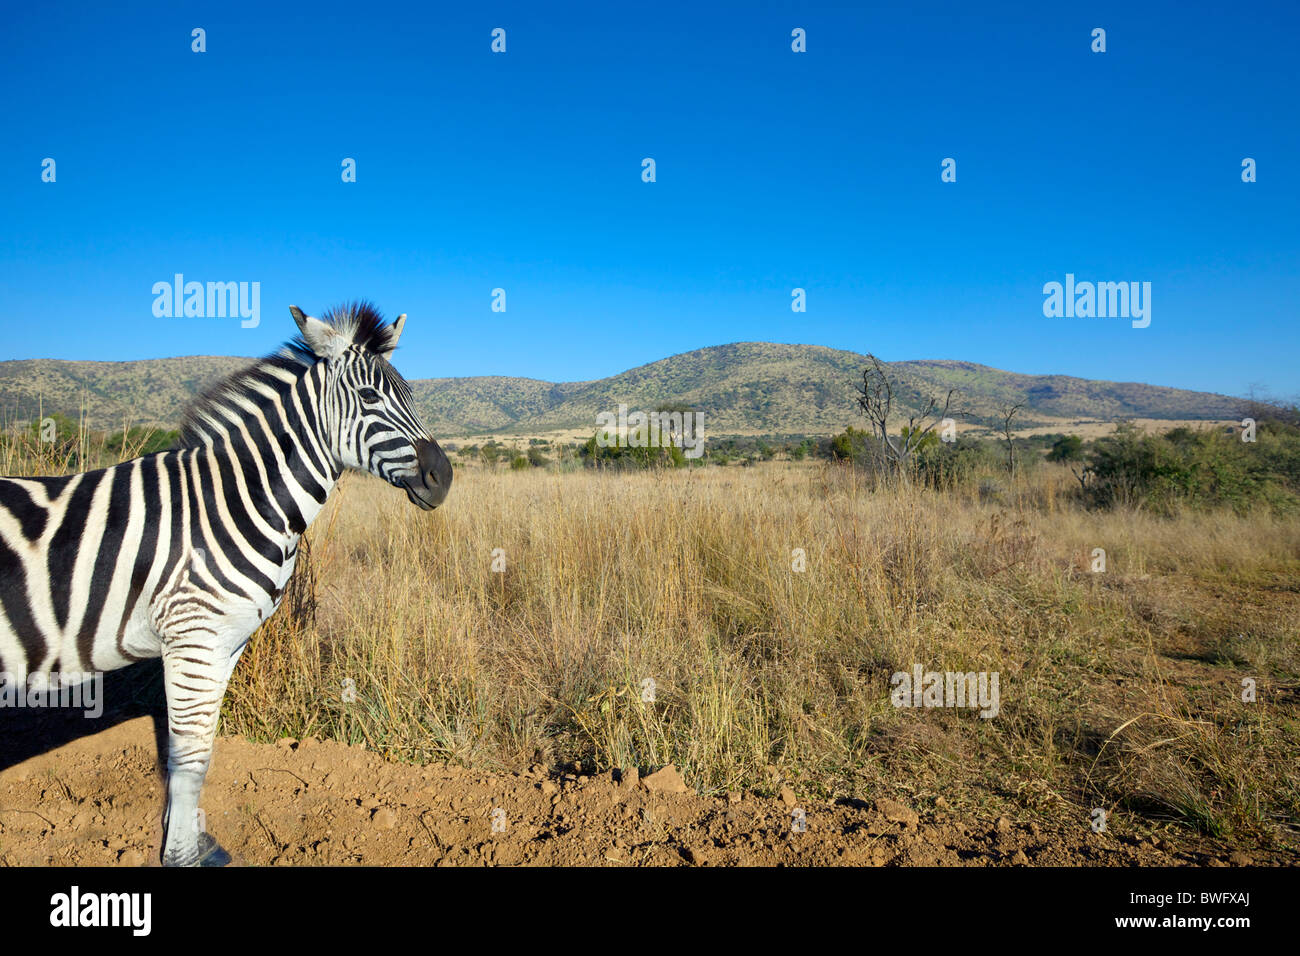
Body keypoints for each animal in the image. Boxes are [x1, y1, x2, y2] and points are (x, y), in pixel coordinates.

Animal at [0, 300, 452, 868]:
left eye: (411, 395)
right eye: (370, 397)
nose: (444, 477)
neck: (231, 501)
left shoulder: (224, 645)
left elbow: (200, 755)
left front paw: (194, 842)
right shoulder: (192, 638)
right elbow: (189, 757)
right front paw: (182, 857)